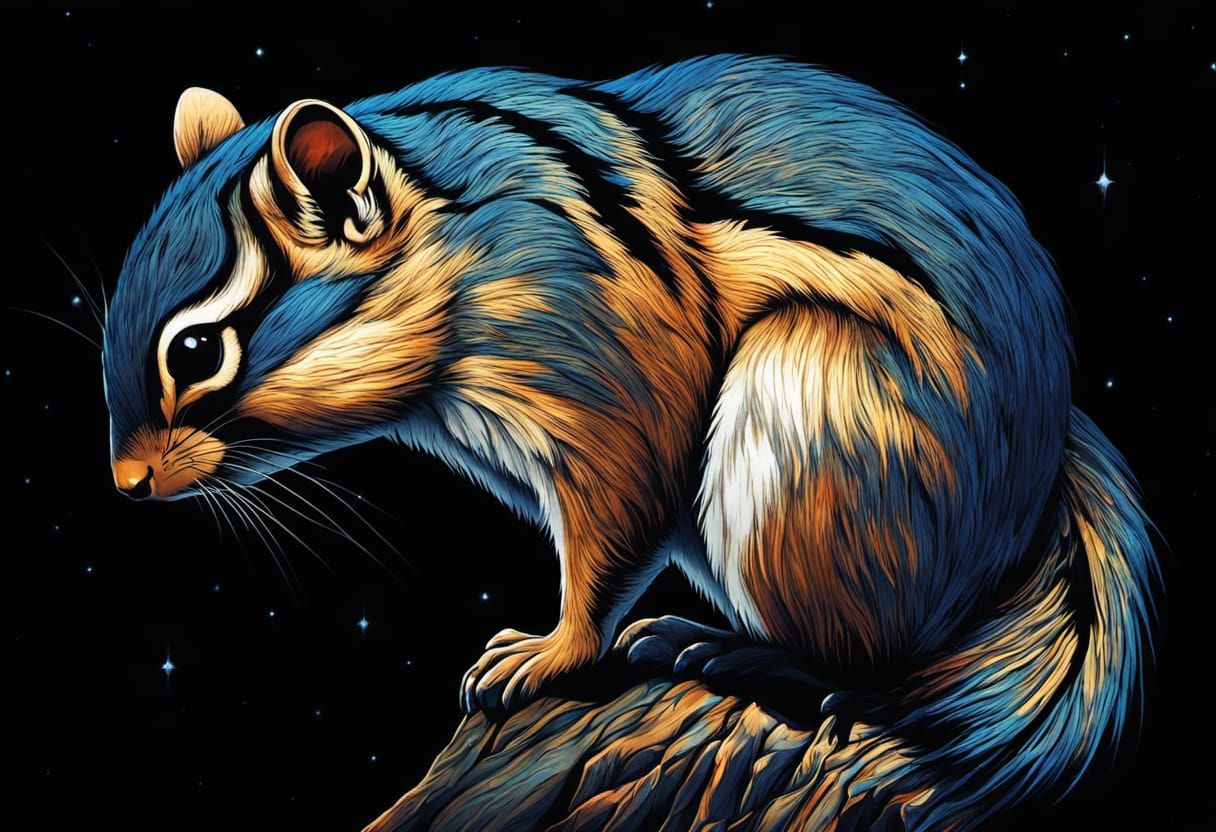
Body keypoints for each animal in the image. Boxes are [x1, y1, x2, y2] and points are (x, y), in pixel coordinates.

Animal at [103, 57, 1157, 830]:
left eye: (196, 350)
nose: (125, 482)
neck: (458, 246)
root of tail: (1033, 487)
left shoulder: (609, 386)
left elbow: (613, 531)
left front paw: (544, 654)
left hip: (813, 417)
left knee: (878, 669)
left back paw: (736, 654)